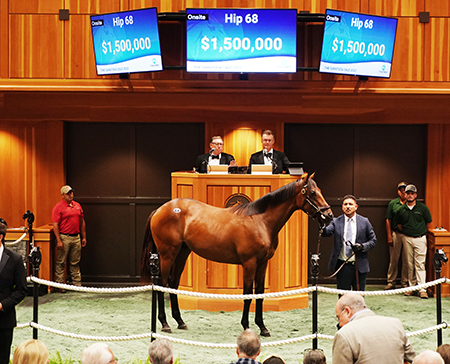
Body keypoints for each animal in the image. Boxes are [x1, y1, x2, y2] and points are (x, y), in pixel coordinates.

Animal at [142, 172, 334, 336]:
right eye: (312, 192)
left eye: (319, 190)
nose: (329, 215)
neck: (260, 221)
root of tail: (160, 210)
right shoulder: (249, 263)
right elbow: (248, 295)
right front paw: (246, 326)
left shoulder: (262, 263)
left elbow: (259, 294)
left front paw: (262, 327)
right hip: (167, 254)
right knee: (161, 284)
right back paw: (165, 324)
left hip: (182, 253)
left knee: (173, 284)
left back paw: (180, 322)